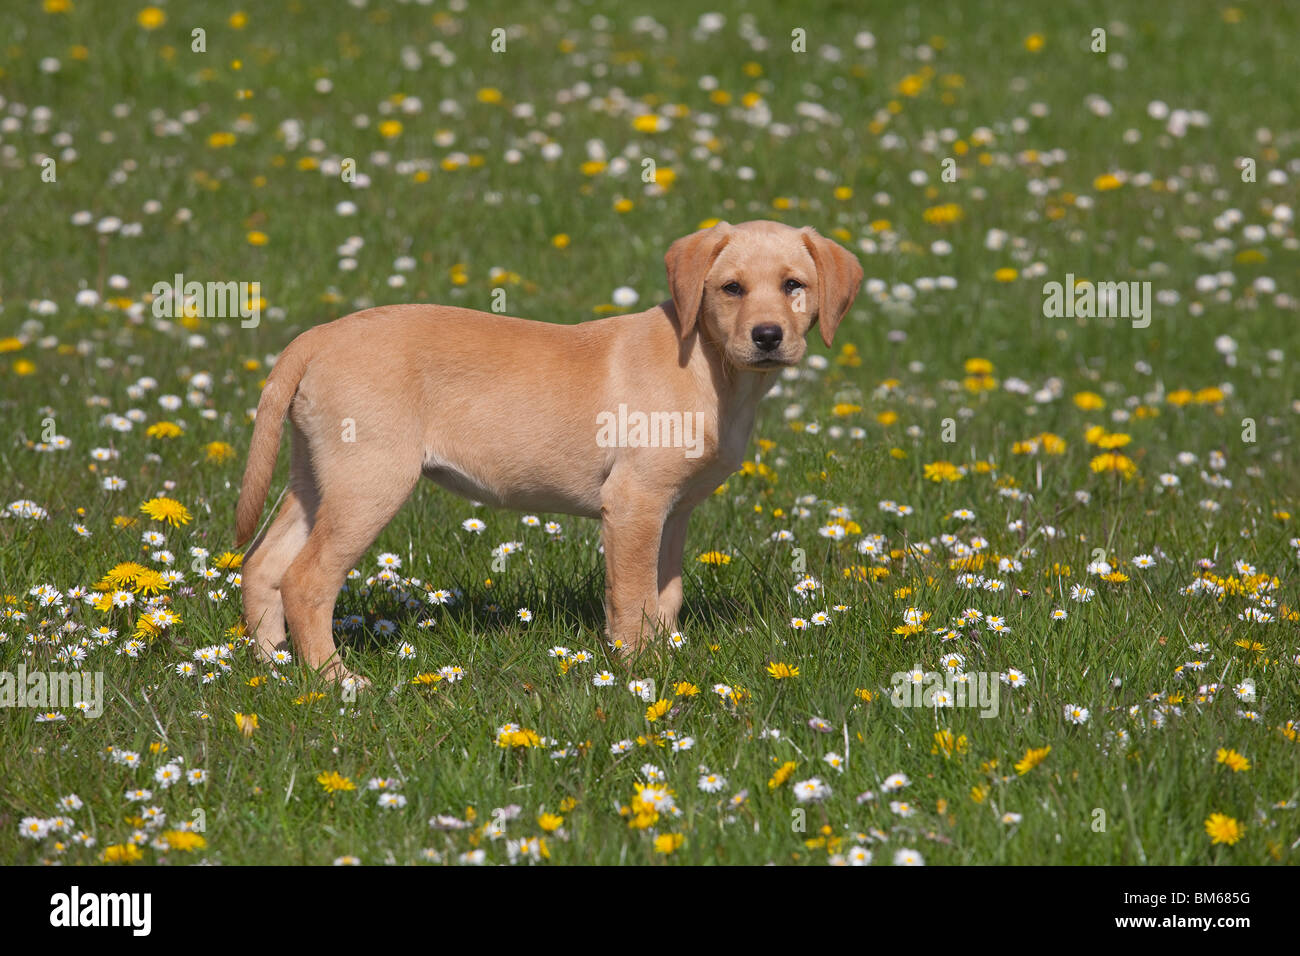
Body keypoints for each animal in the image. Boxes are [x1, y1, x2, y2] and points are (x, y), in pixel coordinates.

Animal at [233, 218, 863, 681]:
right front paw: (635, 672)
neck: (711, 365)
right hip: (370, 480)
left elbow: (666, 596)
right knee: (306, 581)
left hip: (318, 478)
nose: (767, 337)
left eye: (793, 285)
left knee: (263, 566)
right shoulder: (633, 503)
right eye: (731, 288)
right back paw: (335, 680)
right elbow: (630, 595)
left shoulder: (673, 510)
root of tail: (318, 336)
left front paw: (664, 659)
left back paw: (271, 668)